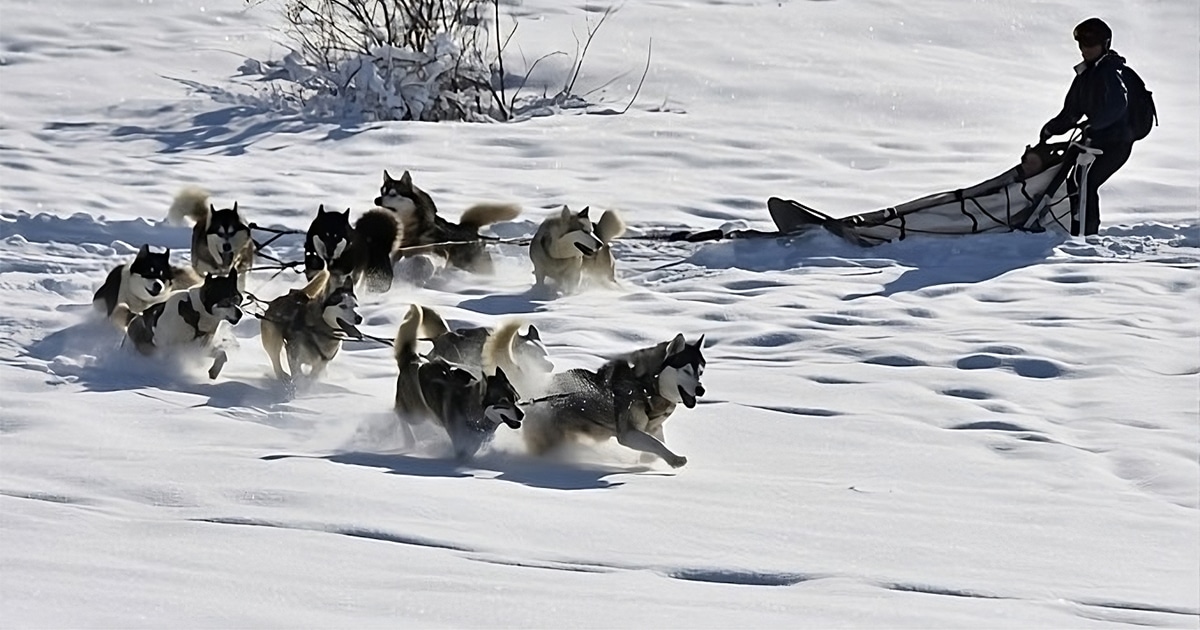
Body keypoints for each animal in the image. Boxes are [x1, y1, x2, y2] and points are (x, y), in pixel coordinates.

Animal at [523, 333, 700, 465]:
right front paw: (674, 459)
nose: (701, 389)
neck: (645, 386)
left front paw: (650, 458)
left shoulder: (653, 426)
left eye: (700, 371)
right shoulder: (628, 433)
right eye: (686, 371)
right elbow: (655, 444)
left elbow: (656, 442)